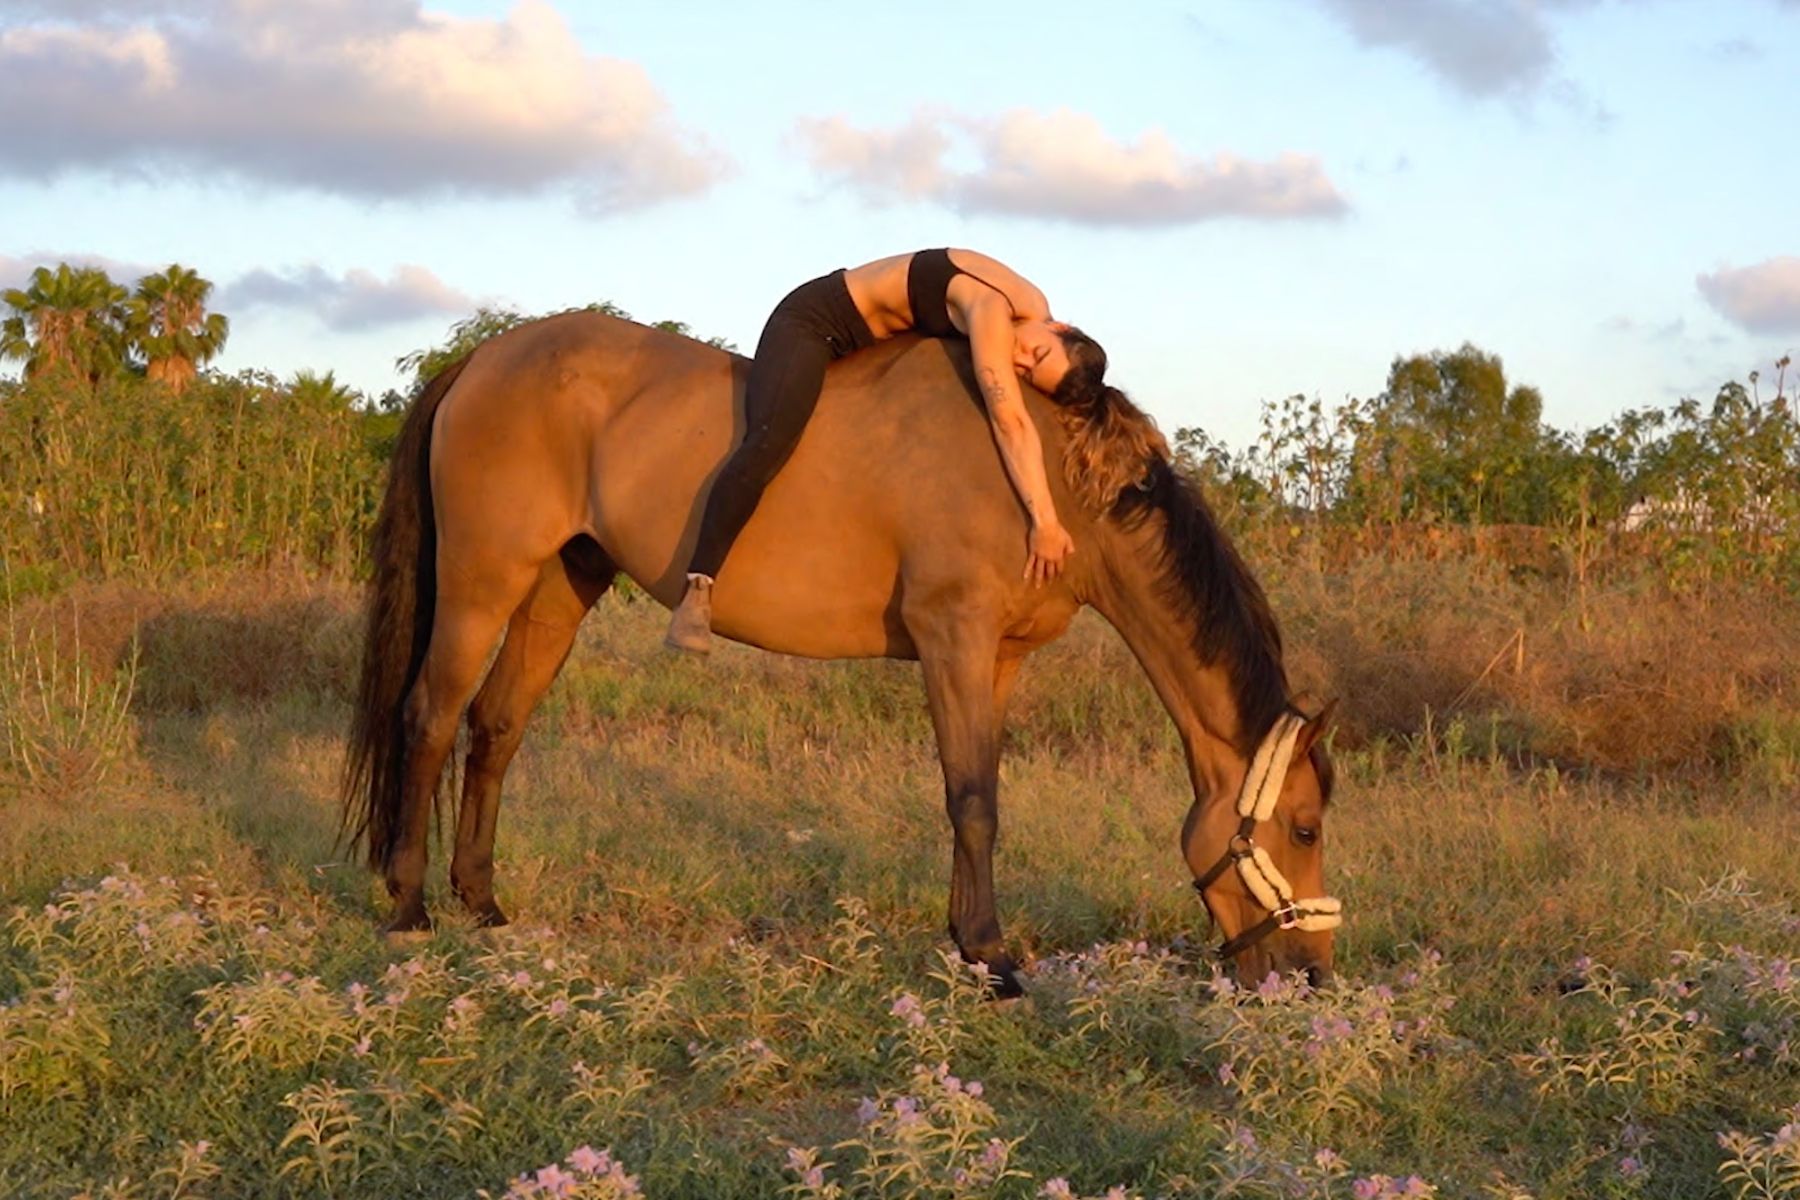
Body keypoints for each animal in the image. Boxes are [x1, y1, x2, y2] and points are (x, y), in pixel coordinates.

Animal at [338, 313, 1339, 993]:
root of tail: (479, 360)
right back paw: (410, 907)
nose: (1313, 975)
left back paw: (482, 904)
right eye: (1304, 828)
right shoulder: (953, 640)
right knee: (429, 719)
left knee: (495, 728)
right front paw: (992, 958)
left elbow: (979, 795)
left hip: (556, 589)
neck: (1050, 475)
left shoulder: (999, 659)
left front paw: (967, 942)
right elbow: (972, 801)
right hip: (482, 582)